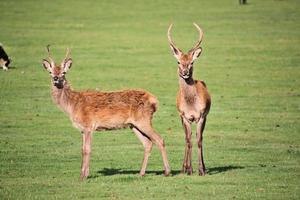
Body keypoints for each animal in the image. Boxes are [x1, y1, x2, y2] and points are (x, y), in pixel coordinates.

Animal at [41, 45, 171, 180]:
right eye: (50, 72)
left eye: (64, 72)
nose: (56, 78)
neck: (72, 105)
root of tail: (154, 101)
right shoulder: (82, 129)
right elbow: (82, 149)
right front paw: (82, 174)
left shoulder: (89, 125)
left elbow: (87, 149)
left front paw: (84, 176)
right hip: (134, 125)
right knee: (148, 143)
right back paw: (141, 173)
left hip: (143, 120)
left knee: (160, 139)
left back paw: (167, 171)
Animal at [168, 24, 212, 176]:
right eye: (178, 61)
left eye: (192, 62)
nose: (185, 72)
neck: (191, 104)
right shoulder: (185, 116)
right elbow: (188, 140)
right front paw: (190, 169)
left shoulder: (202, 115)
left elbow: (199, 140)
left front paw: (201, 170)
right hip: (181, 118)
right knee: (186, 138)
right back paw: (184, 168)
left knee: (199, 137)